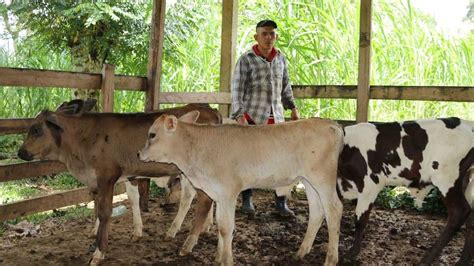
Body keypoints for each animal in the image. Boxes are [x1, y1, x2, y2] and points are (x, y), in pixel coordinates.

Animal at [16, 99, 220, 264]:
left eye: (36, 130)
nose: (20, 152)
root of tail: (209, 109)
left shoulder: (107, 176)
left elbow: (105, 211)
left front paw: (99, 252)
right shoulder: (115, 178)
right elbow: (125, 202)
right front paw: (134, 232)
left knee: (202, 200)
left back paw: (188, 244)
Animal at [139, 111, 342, 264]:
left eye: (152, 134)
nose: (139, 153)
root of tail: (329, 124)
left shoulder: (228, 191)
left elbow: (226, 227)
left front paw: (226, 260)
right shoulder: (219, 194)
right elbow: (221, 225)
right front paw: (219, 257)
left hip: (323, 179)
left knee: (334, 210)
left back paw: (330, 259)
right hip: (309, 182)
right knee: (317, 212)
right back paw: (301, 252)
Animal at [338, 118, 472, 264]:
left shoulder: (370, 184)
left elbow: (360, 220)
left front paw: (351, 254)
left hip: (446, 179)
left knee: (459, 212)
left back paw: (426, 259)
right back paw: (463, 261)